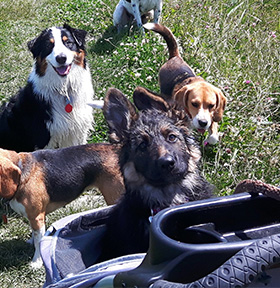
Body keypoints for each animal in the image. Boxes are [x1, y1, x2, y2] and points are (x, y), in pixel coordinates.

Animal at [0, 23, 103, 152]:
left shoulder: (78, 131)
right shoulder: (44, 138)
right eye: (49, 45)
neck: (64, 89)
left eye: (68, 42)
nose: (61, 58)